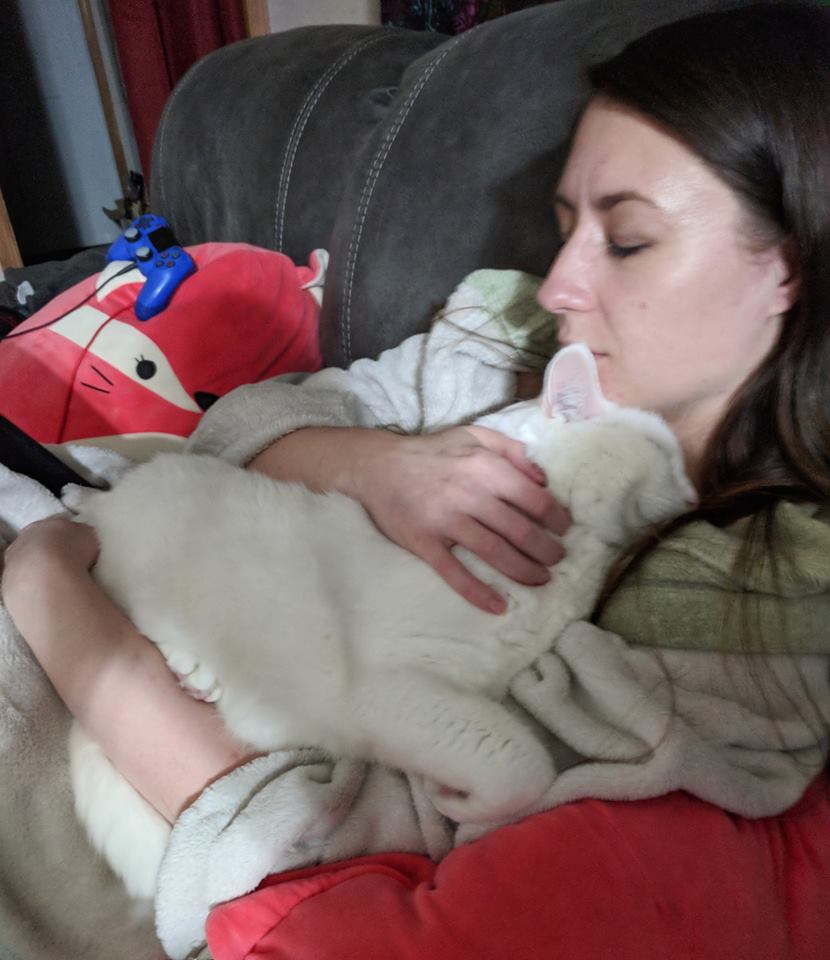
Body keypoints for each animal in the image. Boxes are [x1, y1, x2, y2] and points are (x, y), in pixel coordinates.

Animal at [68, 344, 700, 900]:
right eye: (663, 450)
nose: (696, 492)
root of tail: (111, 501)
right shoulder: (395, 692)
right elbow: (524, 764)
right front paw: (455, 802)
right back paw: (186, 657)